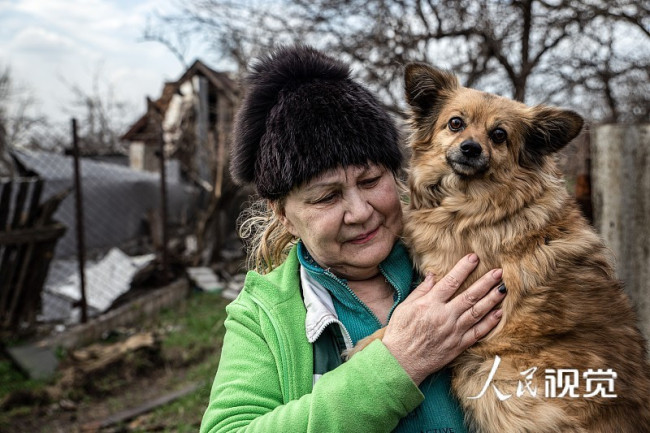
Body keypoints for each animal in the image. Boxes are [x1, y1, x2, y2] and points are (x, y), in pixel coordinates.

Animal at [352, 62, 648, 430]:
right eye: (455, 123)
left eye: (499, 135)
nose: (470, 148)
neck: (478, 204)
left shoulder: (458, 292)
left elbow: (400, 321)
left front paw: (364, 348)